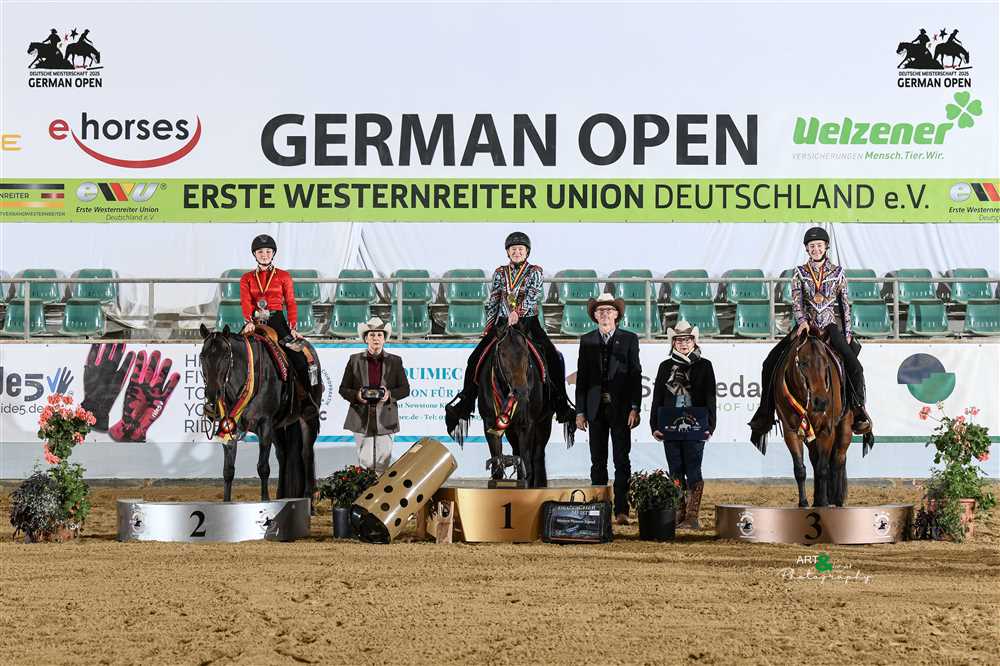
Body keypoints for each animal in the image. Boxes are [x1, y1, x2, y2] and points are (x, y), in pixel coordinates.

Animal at [198, 324, 321, 503]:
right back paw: (281, 495)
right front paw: (226, 503)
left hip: (308, 418)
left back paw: (309, 499)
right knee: (283, 455)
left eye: (226, 356)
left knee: (306, 454)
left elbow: (263, 467)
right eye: (202, 357)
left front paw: (265, 500)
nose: (212, 394)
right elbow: (228, 470)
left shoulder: (264, 425)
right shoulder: (230, 427)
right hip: (277, 427)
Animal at [767, 334, 873, 508]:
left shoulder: (826, 429)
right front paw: (804, 502)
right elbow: (800, 469)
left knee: (837, 460)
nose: (821, 401)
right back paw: (818, 498)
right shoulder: (791, 431)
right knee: (815, 459)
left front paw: (823, 502)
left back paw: (836, 500)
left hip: (845, 428)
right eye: (803, 363)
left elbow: (823, 468)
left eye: (826, 364)